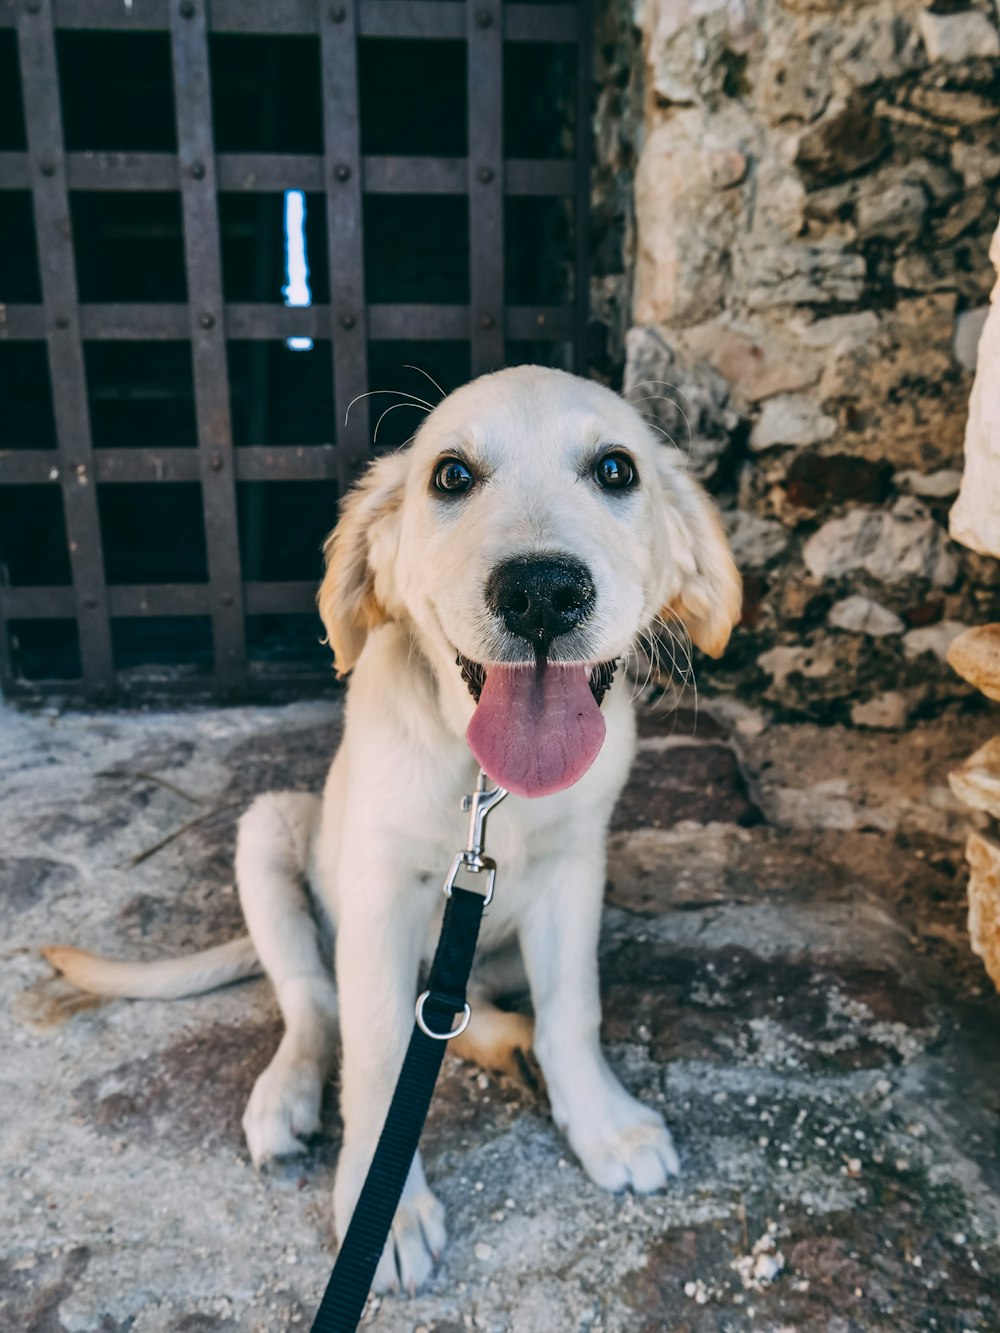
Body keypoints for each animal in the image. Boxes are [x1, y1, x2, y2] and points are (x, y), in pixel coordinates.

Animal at [47, 365, 741, 1290]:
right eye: (450, 475)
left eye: (617, 470)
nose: (543, 593)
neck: (489, 787)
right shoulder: (380, 894)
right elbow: (376, 1054)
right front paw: (388, 1206)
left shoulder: (575, 869)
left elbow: (573, 1008)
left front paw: (604, 1122)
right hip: (271, 831)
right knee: (315, 999)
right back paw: (288, 1095)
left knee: (458, 1003)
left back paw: (510, 1042)